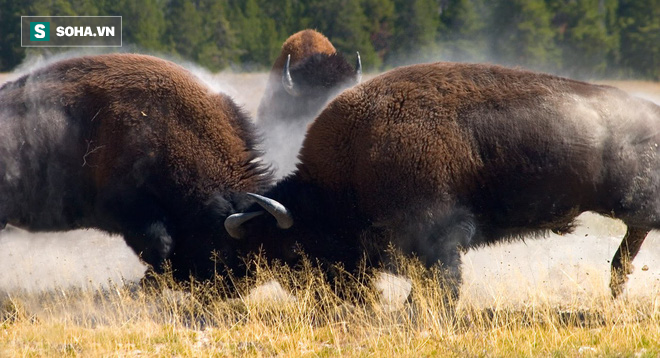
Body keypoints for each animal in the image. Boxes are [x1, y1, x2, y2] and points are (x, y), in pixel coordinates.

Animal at [226, 62, 660, 300]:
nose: (316, 296)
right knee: (632, 238)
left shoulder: (437, 236)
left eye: (294, 248)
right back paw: (616, 283)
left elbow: (441, 282)